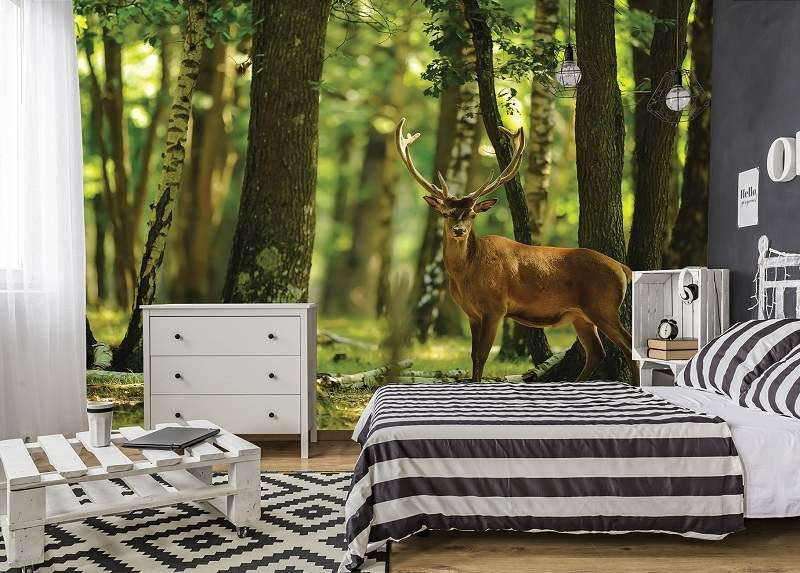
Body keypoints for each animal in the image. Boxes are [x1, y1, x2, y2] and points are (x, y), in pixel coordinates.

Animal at [396, 118, 633, 382]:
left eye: (473, 214)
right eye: (446, 213)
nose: (459, 230)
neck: (468, 274)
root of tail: (623, 267)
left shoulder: (496, 307)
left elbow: (482, 355)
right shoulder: (472, 313)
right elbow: (473, 356)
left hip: (604, 306)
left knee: (628, 345)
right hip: (581, 315)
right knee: (596, 352)